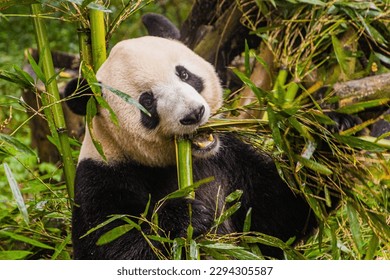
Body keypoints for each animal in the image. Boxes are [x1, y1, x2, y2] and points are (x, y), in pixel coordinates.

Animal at [64, 14, 360, 260]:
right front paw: (186, 216)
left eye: (184, 74)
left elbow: (277, 214)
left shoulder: (230, 158)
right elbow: (116, 245)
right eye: (147, 101)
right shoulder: (104, 177)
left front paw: (333, 133)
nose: (193, 114)